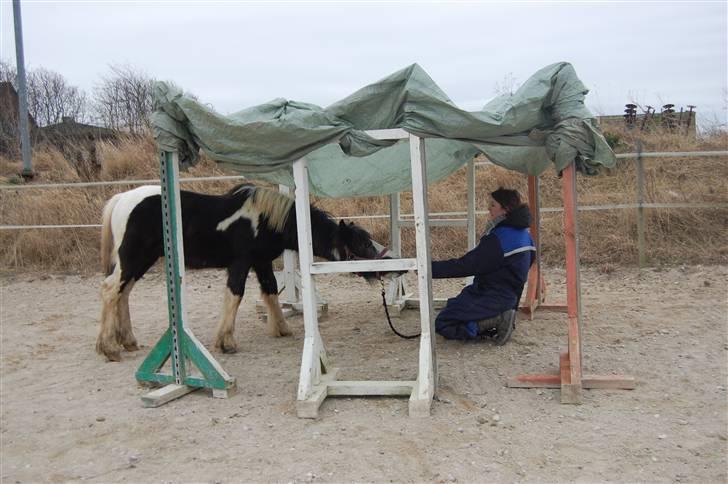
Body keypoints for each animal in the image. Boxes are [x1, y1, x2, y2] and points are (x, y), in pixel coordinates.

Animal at [96, 183, 386, 362]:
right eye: (361, 244)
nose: (382, 265)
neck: (265, 219)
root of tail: (123, 199)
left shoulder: (261, 263)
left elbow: (271, 292)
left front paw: (282, 329)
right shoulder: (241, 263)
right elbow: (235, 294)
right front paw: (226, 342)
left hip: (141, 261)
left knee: (123, 293)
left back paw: (127, 341)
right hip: (133, 258)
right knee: (111, 290)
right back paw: (109, 347)